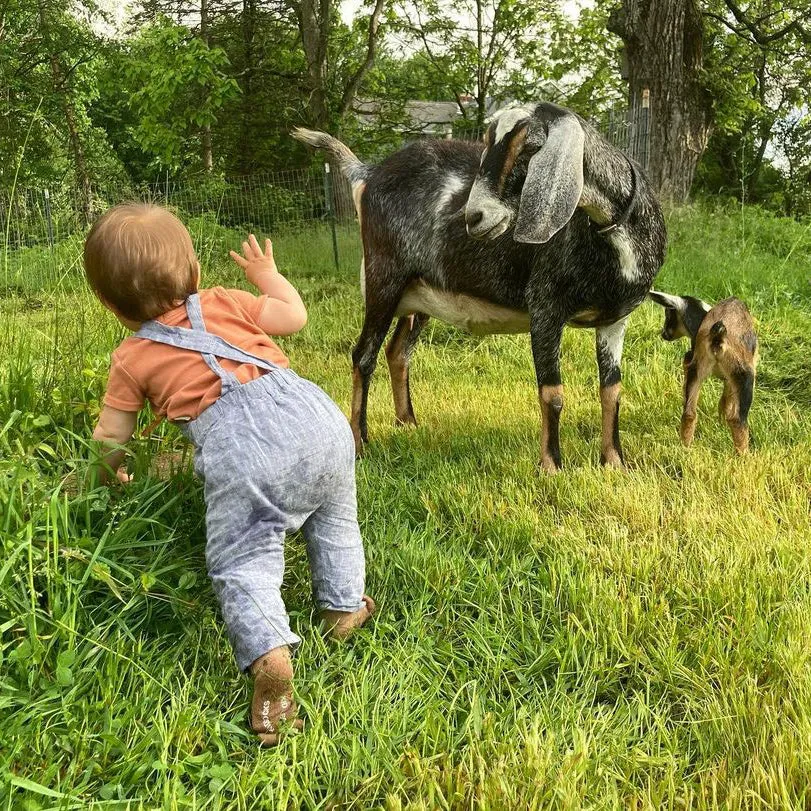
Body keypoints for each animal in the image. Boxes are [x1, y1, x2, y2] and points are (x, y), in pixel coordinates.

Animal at [652, 294, 760, 456]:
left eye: (668, 314)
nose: (663, 334)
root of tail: (718, 333)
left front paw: (721, 424)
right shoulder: (733, 378)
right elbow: (727, 401)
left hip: (696, 370)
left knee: (689, 413)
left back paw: (684, 448)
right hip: (744, 375)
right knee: (737, 419)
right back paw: (744, 455)